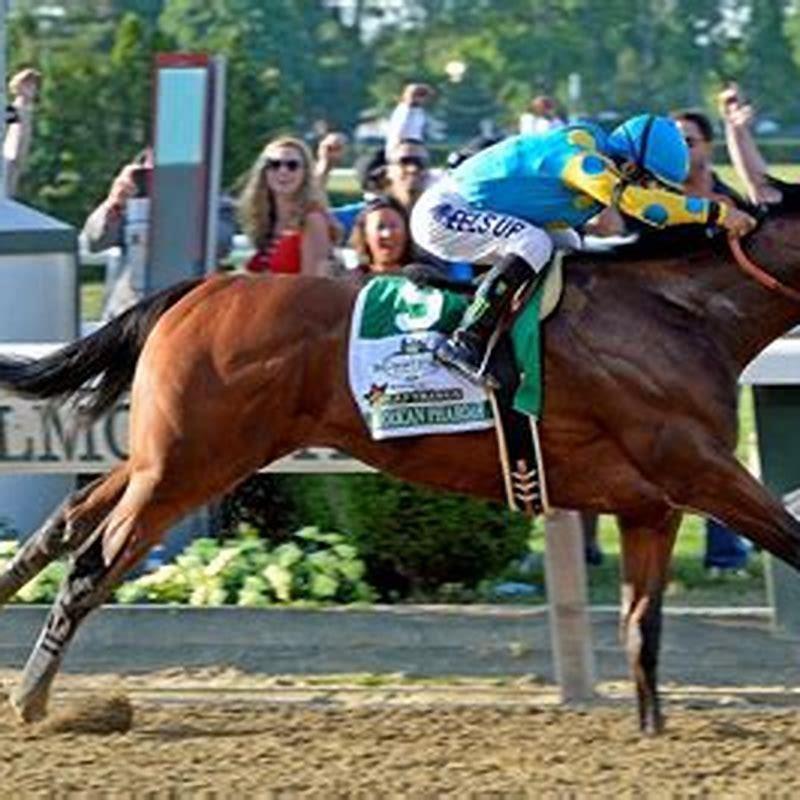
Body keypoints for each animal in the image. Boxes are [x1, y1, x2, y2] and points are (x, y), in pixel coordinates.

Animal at [2, 184, 800, 734]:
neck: (681, 316)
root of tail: (206, 285)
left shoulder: (651, 505)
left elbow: (642, 626)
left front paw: (652, 729)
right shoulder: (702, 471)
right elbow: (794, 543)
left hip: (168, 458)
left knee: (69, 520)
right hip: (186, 466)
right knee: (94, 563)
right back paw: (33, 697)